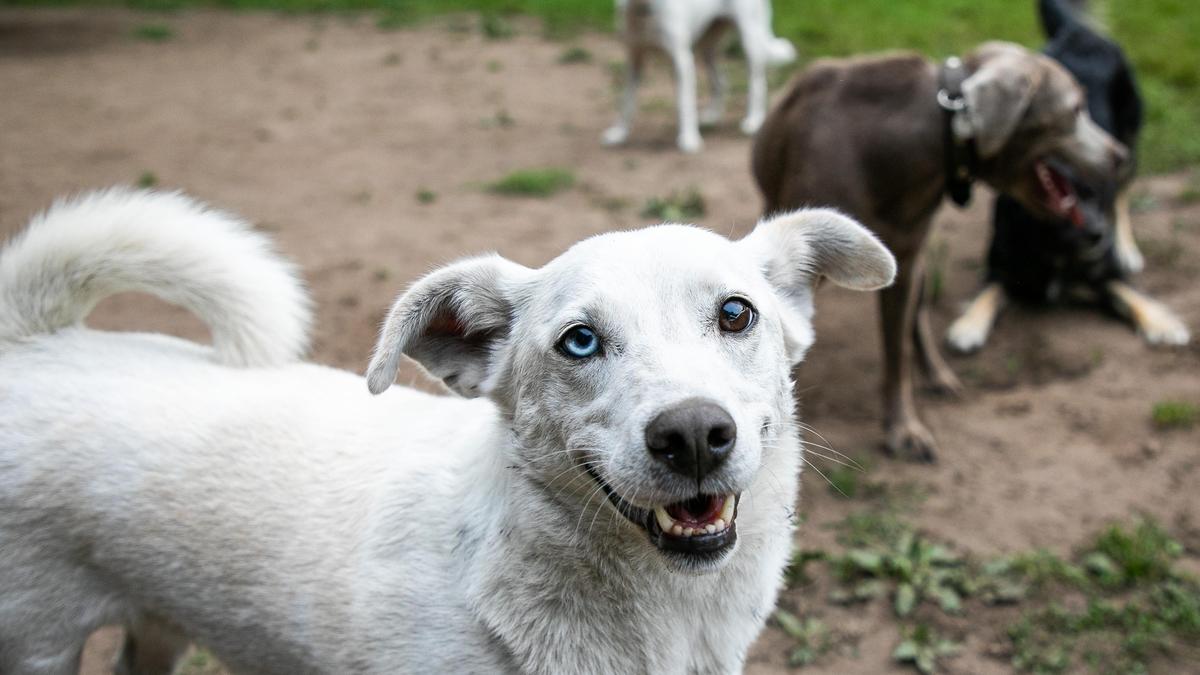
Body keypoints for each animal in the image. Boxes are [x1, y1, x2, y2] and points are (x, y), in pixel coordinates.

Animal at [0, 189, 892, 672]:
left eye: (736, 313)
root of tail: (36, 340)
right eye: (579, 341)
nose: (695, 434)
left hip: (159, 627)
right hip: (35, 644)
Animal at [600, 0, 796, 152]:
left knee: (757, 83)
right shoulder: (633, 62)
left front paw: (689, 139)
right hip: (707, 47)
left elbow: (684, 103)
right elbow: (626, 102)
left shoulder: (682, 62)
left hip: (750, 41)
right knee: (721, 82)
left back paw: (753, 120)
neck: (644, 9)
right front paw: (620, 133)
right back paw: (713, 115)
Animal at [753, 40, 1128, 456]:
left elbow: (897, 350)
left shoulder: (905, 260)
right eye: (1075, 109)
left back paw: (936, 374)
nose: (1122, 155)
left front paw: (904, 429)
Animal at [945, 1, 1190, 353]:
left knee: (1124, 194)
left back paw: (1126, 247)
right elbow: (987, 293)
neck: (1055, 247)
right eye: (1066, 198)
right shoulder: (1001, 268)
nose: (1101, 237)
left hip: (1130, 136)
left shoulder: (1106, 274)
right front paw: (967, 326)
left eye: (1095, 194)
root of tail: (1078, 32)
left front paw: (1164, 325)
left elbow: (1133, 296)